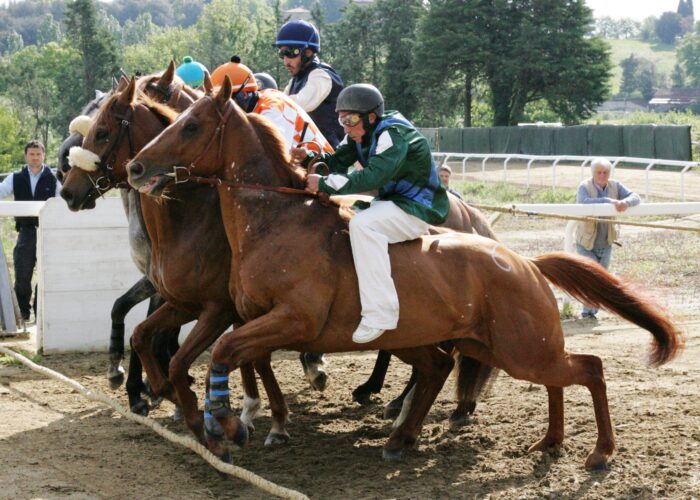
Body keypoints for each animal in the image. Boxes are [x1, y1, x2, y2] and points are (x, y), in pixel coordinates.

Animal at [126, 77, 683, 469]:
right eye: (172, 120)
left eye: (190, 125)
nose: (135, 168)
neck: (274, 219)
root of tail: (523, 262)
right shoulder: (246, 316)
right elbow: (215, 355)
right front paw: (211, 416)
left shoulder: (286, 321)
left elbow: (222, 352)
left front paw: (223, 421)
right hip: (481, 344)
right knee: (459, 369)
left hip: (521, 348)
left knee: (588, 368)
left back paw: (599, 452)